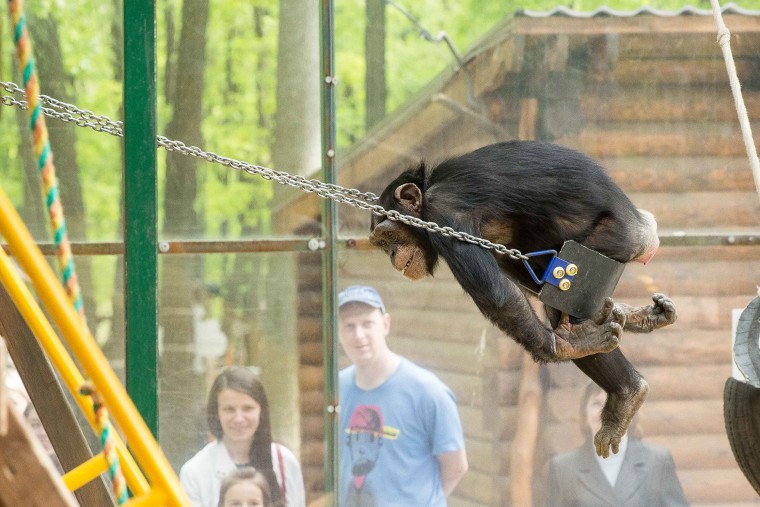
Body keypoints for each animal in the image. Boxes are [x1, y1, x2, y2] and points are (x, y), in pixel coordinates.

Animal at [370, 141, 676, 458]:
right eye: (382, 243)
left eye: (390, 234)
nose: (391, 254)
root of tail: (646, 228)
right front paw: (624, 318)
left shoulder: (444, 212)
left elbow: (498, 295)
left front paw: (563, 346)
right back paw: (626, 377)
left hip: (615, 240)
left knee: (569, 298)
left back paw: (621, 390)